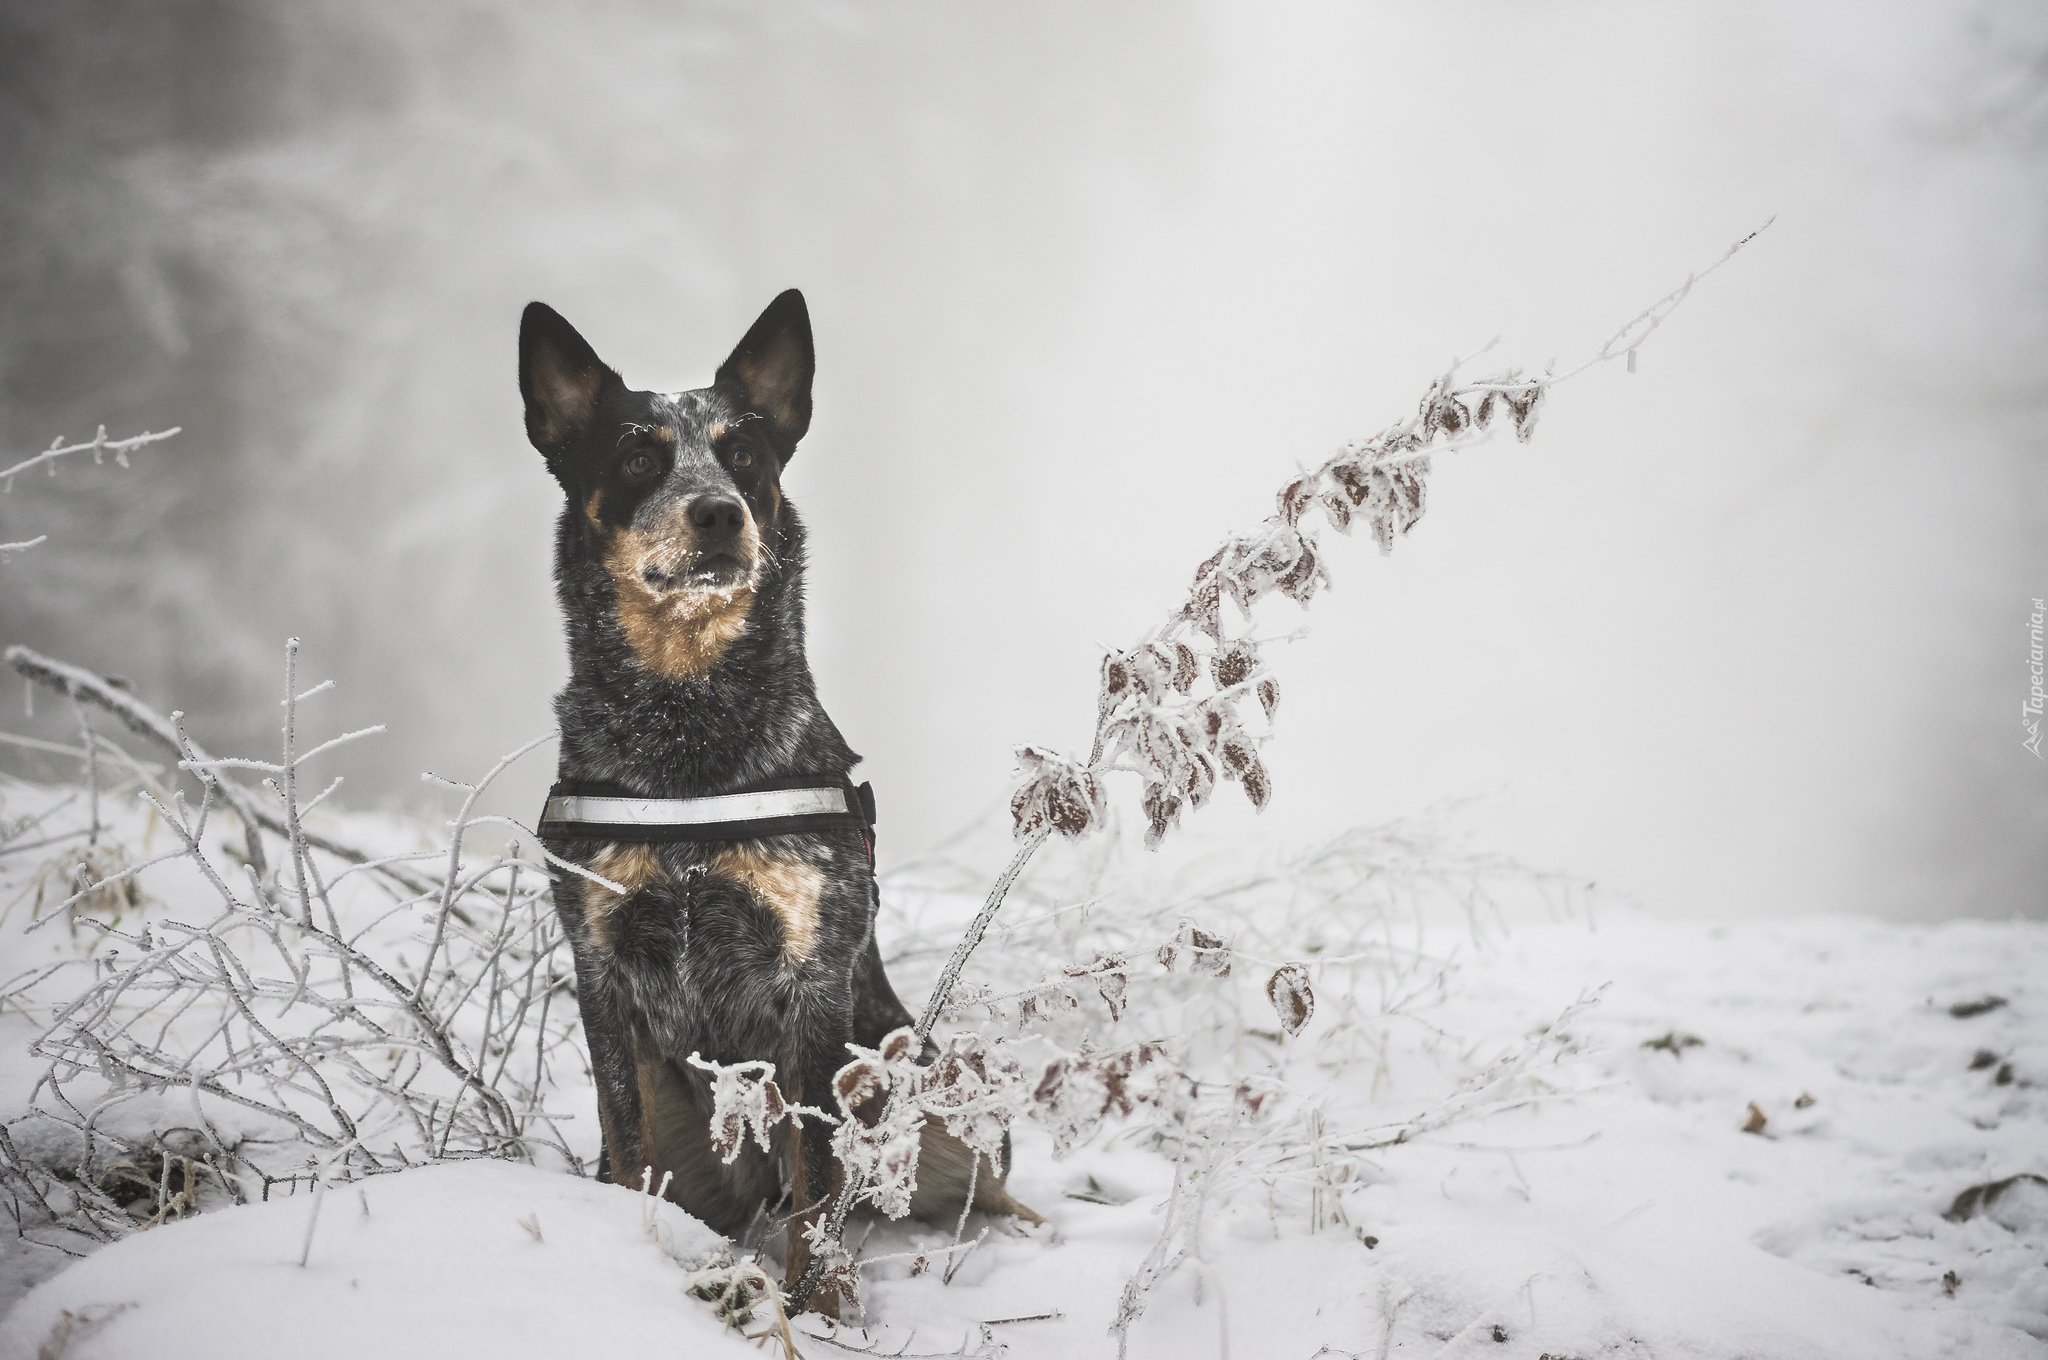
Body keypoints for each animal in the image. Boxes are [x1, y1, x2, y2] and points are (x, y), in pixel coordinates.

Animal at [524, 288, 1040, 1310]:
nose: (719, 512)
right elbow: (623, 1141)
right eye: (639, 455)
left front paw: (822, 1310)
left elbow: (817, 1176)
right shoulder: (601, 972)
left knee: (977, 1188)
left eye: (745, 456)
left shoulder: (812, 981)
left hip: (920, 1077)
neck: (686, 733)